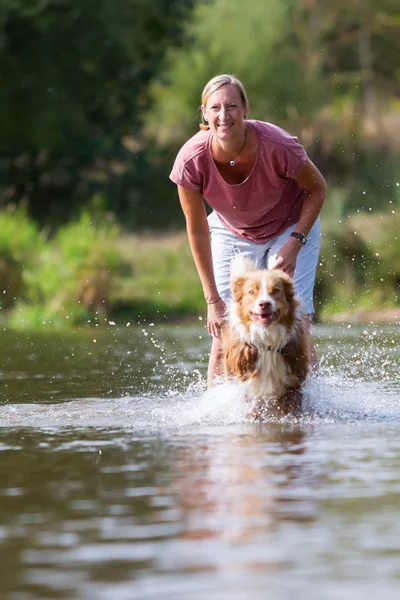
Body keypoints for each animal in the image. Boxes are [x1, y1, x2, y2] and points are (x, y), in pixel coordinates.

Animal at [222, 255, 310, 420]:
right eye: (251, 292)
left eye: (275, 291)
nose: (264, 304)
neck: (267, 340)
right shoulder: (245, 383)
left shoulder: (293, 382)